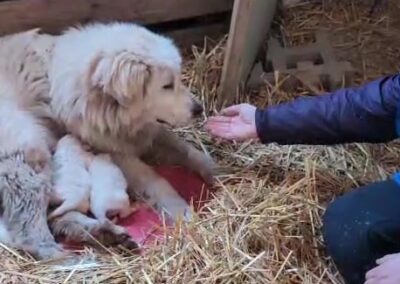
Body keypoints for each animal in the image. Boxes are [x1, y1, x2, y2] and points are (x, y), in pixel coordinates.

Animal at [48, 22, 217, 222]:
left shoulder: (150, 132)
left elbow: (186, 149)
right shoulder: (117, 153)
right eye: (167, 85)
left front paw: (214, 169)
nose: (199, 109)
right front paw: (180, 209)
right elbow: (155, 179)